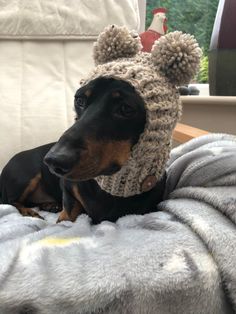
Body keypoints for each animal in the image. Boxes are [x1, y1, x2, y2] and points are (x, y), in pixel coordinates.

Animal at [0, 78, 166, 226]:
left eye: (126, 108)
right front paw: (64, 220)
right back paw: (30, 212)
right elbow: (70, 208)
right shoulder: (67, 185)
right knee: (12, 202)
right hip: (26, 176)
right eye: (79, 100)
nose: (53, 161)